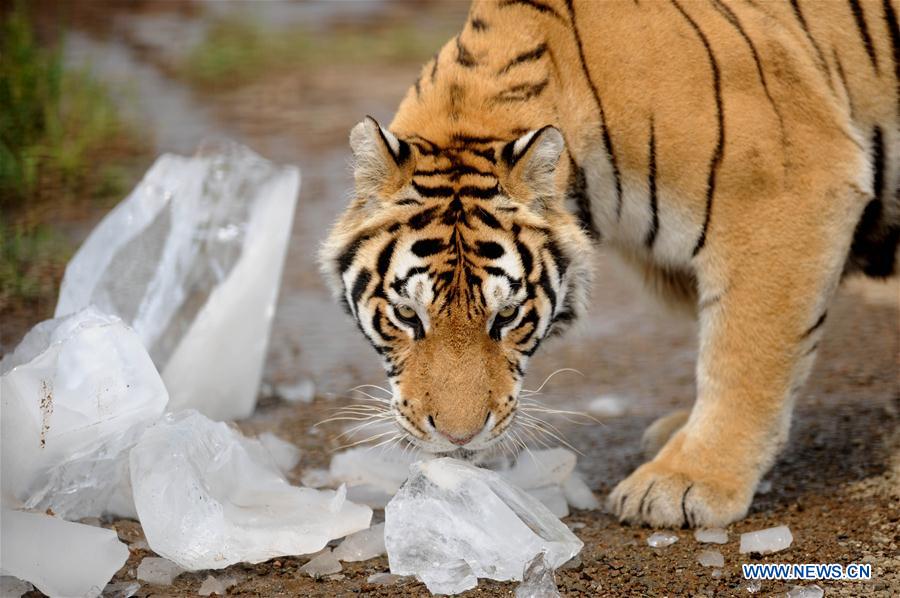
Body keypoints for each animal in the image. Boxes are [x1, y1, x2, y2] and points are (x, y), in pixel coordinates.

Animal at [320, 0, 896, 528]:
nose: (458, 436)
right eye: (407, 316)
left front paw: (687, 481)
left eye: (506, 317)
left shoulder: (788, 192)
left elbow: (745, 353)